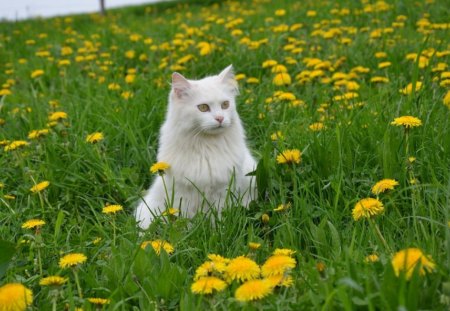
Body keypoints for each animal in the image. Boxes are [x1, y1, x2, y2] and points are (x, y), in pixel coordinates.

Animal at [135, 66, 256, 230]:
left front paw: (217, 230)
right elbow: (186, 220)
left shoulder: (223, 190)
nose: (220, 118)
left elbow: (218, 218)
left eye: (225, 105)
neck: (207, 147)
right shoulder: (183, 193)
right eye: (203, 107)